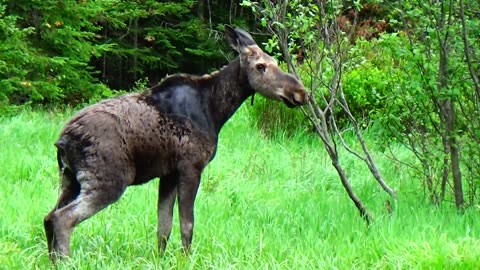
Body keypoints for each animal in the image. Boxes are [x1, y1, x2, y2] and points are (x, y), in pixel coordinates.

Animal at [44, 25, 308, 262]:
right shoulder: (190, 167)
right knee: (62, 219)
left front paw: (161, 260)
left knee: (48, 217)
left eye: (275, 62)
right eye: (261, 66)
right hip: (108, 180)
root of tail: (62, 140)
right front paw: (185, 260)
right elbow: (186, 225)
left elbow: (164, 228)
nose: (300, 92)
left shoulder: (168, 174)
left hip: (70, 178)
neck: (217, 110)